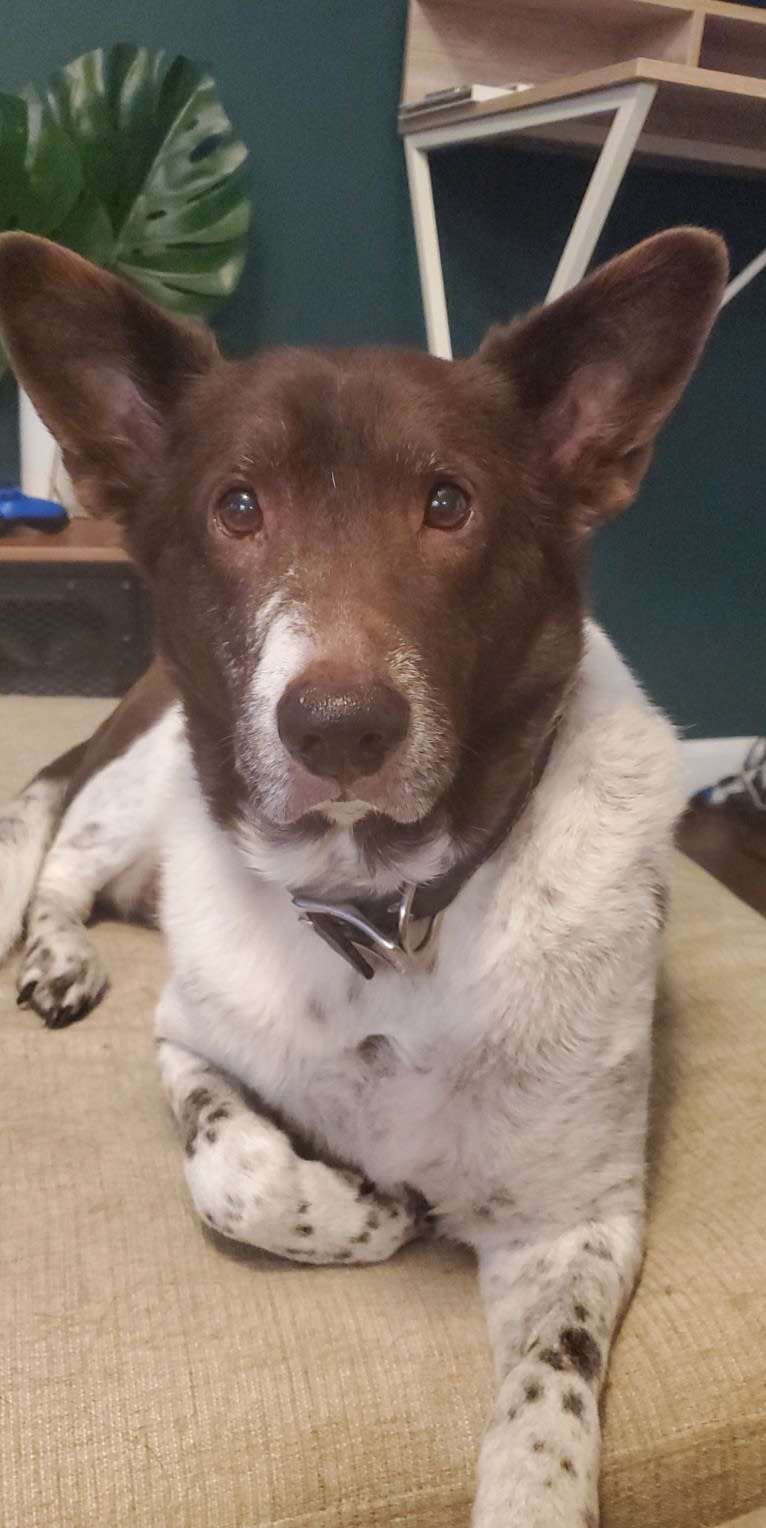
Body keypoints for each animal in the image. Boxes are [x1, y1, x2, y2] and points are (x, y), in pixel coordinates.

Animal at [0, 229, 724, 1528]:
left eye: (447, 502)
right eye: (238, 505)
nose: (338, 727)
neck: (382, 918)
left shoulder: (575, 1224)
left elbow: (546, 1411)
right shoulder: (187, 1043)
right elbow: (233, 1172)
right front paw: (370, 1208)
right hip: (137, 776)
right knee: (61, 860)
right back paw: (58, 953)